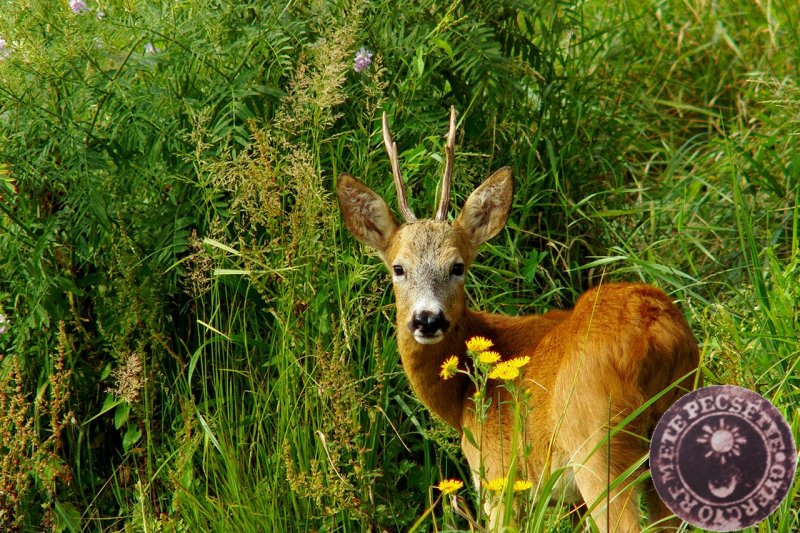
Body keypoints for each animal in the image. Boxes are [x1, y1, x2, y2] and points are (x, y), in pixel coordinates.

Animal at [334, 108, 696, 528]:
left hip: (599, 440)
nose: (427, 319)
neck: (463, 397)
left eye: (458, 266)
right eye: (398, 268)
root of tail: (658, 335)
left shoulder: (498, 476)